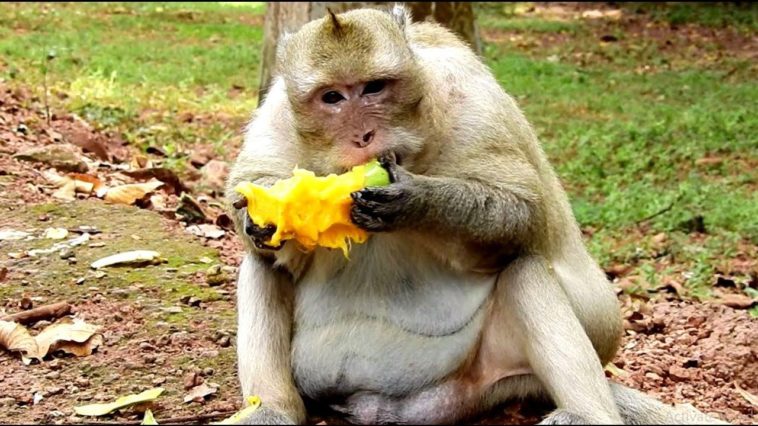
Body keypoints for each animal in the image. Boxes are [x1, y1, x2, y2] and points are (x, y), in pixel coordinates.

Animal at [225, 5, 728, 425]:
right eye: (332, 97)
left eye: (373, 88)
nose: (363, 135)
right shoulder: (276, 110)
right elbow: (251, 191)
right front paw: (263, 221)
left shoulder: (470, 98)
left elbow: (522, 210)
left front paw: (418, 200)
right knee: (264, 265)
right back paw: (274, 409)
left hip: (516, 367)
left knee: (525, 270)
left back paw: (587, 415)